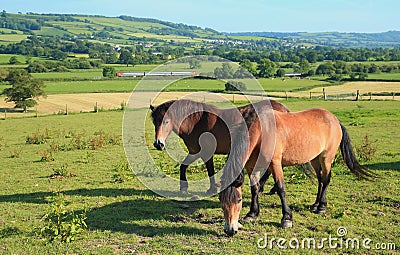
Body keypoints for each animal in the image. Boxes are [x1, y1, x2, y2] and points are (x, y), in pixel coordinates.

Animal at [219, 106, 376, 236]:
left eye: (239, 200)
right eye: (221, 200)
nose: (230, 230)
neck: (262, 131)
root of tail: (334, 119)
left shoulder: (275, 163)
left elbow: (281, 188)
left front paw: (286, 218)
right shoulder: (251, 166)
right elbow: (255, 188)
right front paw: (252, 214)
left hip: (326, 158)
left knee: (326, 179)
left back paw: (322, 207)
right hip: (315, 159)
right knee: (320, 180)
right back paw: (315, 205)